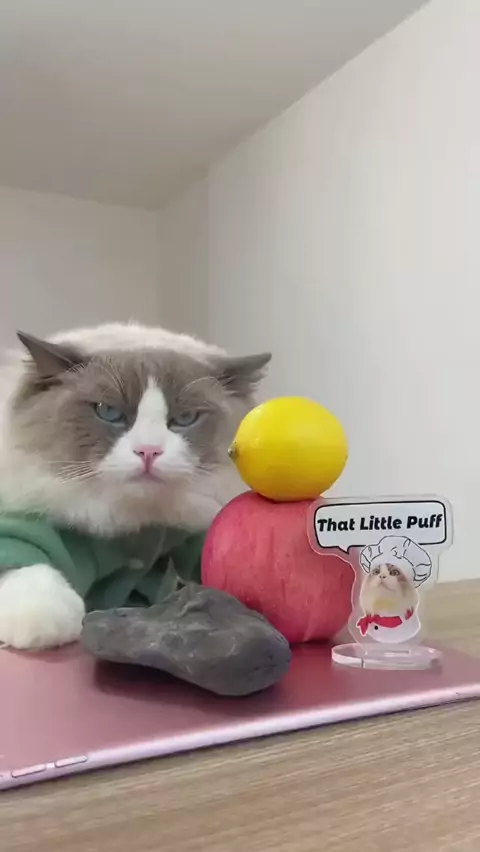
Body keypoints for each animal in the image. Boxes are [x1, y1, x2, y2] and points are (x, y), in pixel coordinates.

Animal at [0, 322, 271, 651]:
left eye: (185, 418)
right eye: (108, 411)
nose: (149, 451)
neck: (134, 524)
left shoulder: (194, 544)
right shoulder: (24, 527)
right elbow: (29, 564)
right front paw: (44, 625)